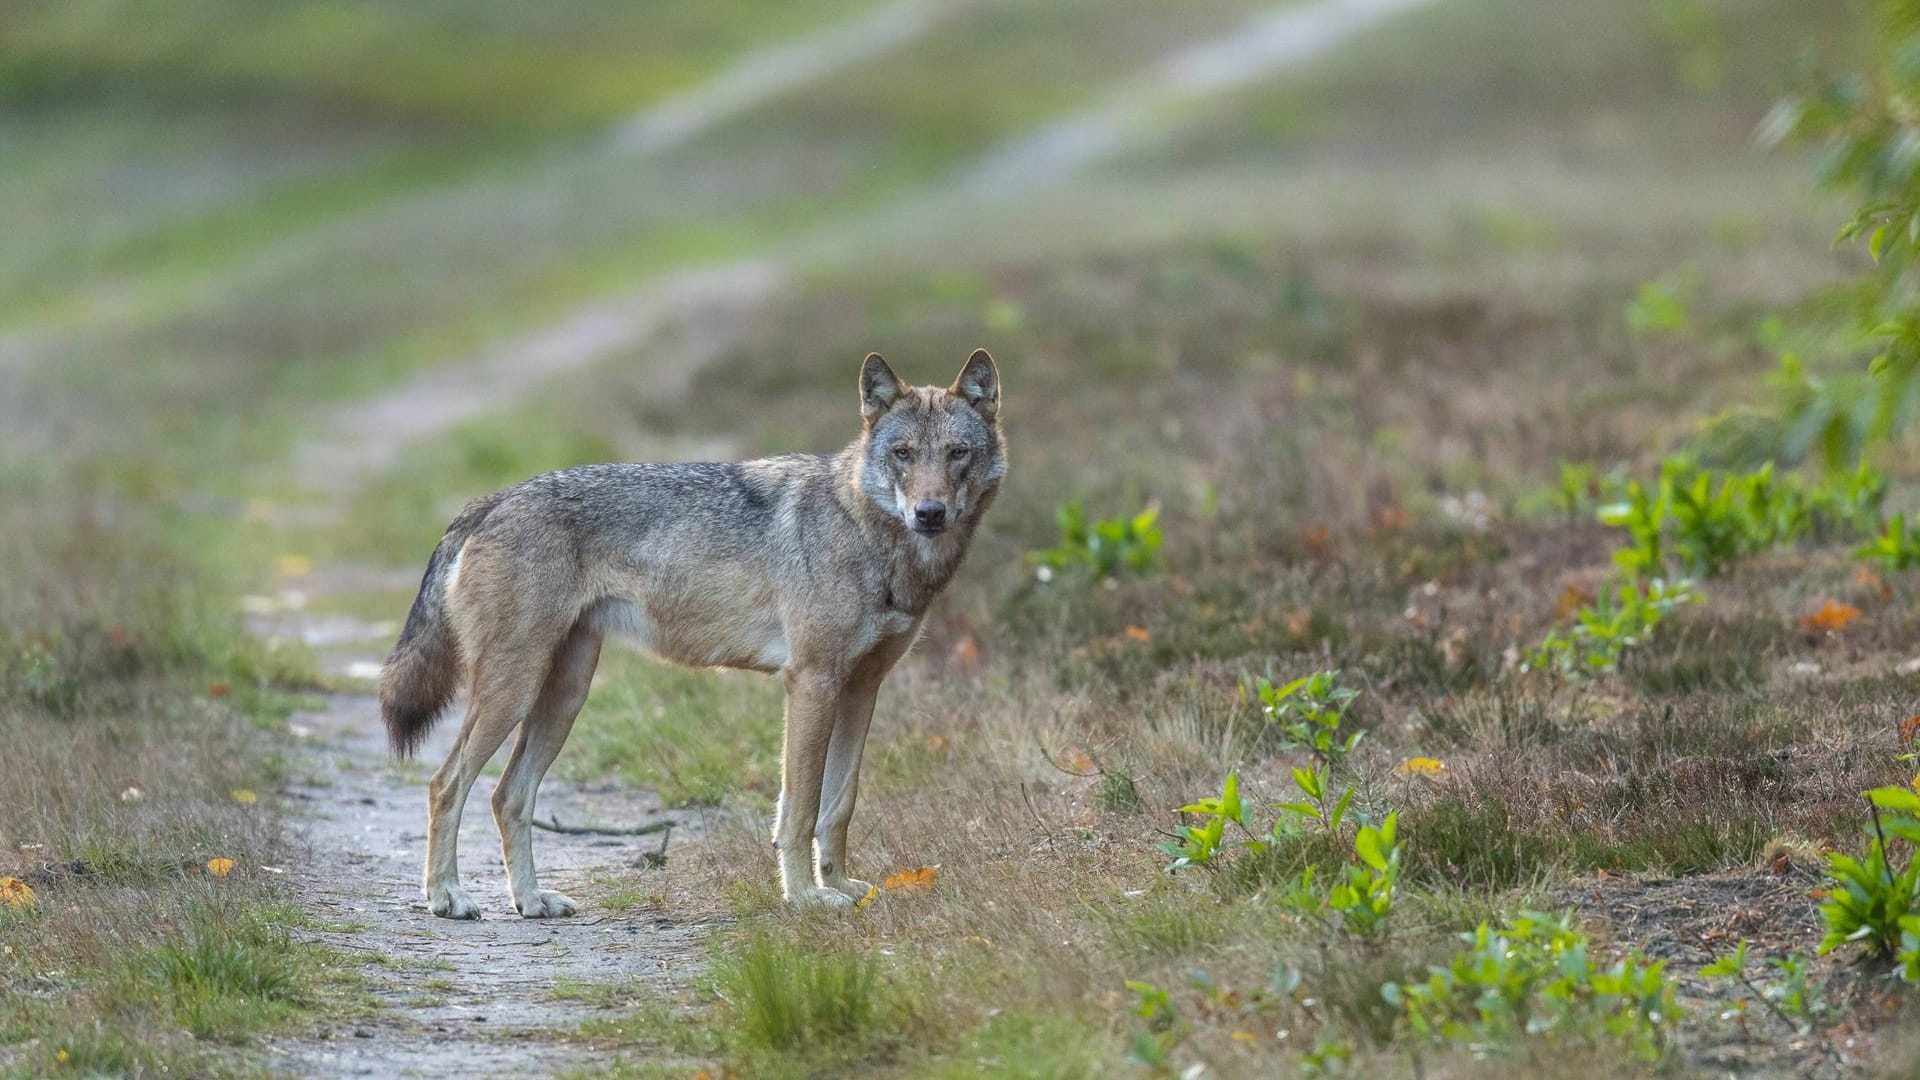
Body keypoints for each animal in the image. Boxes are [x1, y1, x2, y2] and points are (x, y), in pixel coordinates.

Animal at [376, 349, 1006, 910]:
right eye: (903, 454)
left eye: (957, 454)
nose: (929, 513)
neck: (871, 535)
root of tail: (492, 500)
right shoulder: (811, 682)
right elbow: (800, 808)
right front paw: (805, 898)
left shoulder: (861, 688)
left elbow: (839, 803)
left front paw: (843, 888)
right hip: (514, 691)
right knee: (444, 784)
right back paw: (447, 896)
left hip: (564, 696)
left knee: (508, 795)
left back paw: (530, 900)